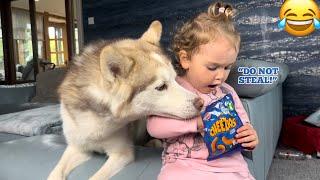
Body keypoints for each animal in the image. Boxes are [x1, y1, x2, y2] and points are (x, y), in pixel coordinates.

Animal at [47, 20, 202, 179]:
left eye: (175, 79)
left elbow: (95, 177)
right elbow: (55, 172)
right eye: (161, 87)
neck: (99, 119)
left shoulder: (122, 154)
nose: (201, 102)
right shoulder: (77, 148)